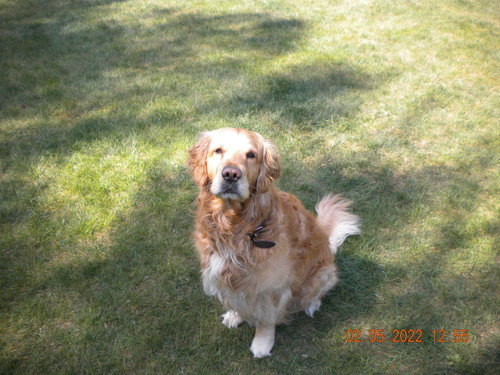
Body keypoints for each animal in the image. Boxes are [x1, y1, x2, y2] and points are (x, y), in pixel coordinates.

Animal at [188, 129, 360, 358]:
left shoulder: (271, 287)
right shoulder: (225, 274)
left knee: (317, 293)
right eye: (218, 150)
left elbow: (266, 318)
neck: (237, 225)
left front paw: (262, 342)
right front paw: (235, 315)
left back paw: (311, 305)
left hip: (323, 273)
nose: (231, 175)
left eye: (251, 155)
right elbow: (237, 300)